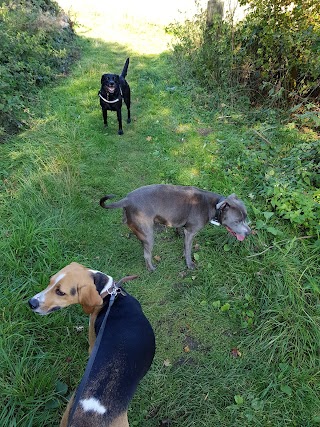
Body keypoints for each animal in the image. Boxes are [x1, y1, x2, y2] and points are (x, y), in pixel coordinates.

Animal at [99, 184, 251, 270]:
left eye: (245, 217)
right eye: (237, 221)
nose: (249, 232)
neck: (214, 205)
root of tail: (127, 200)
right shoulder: (191, 232)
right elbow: (188, 250)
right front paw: (189, 264)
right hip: (148, 234)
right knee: (146, 254)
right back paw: (151, 268)